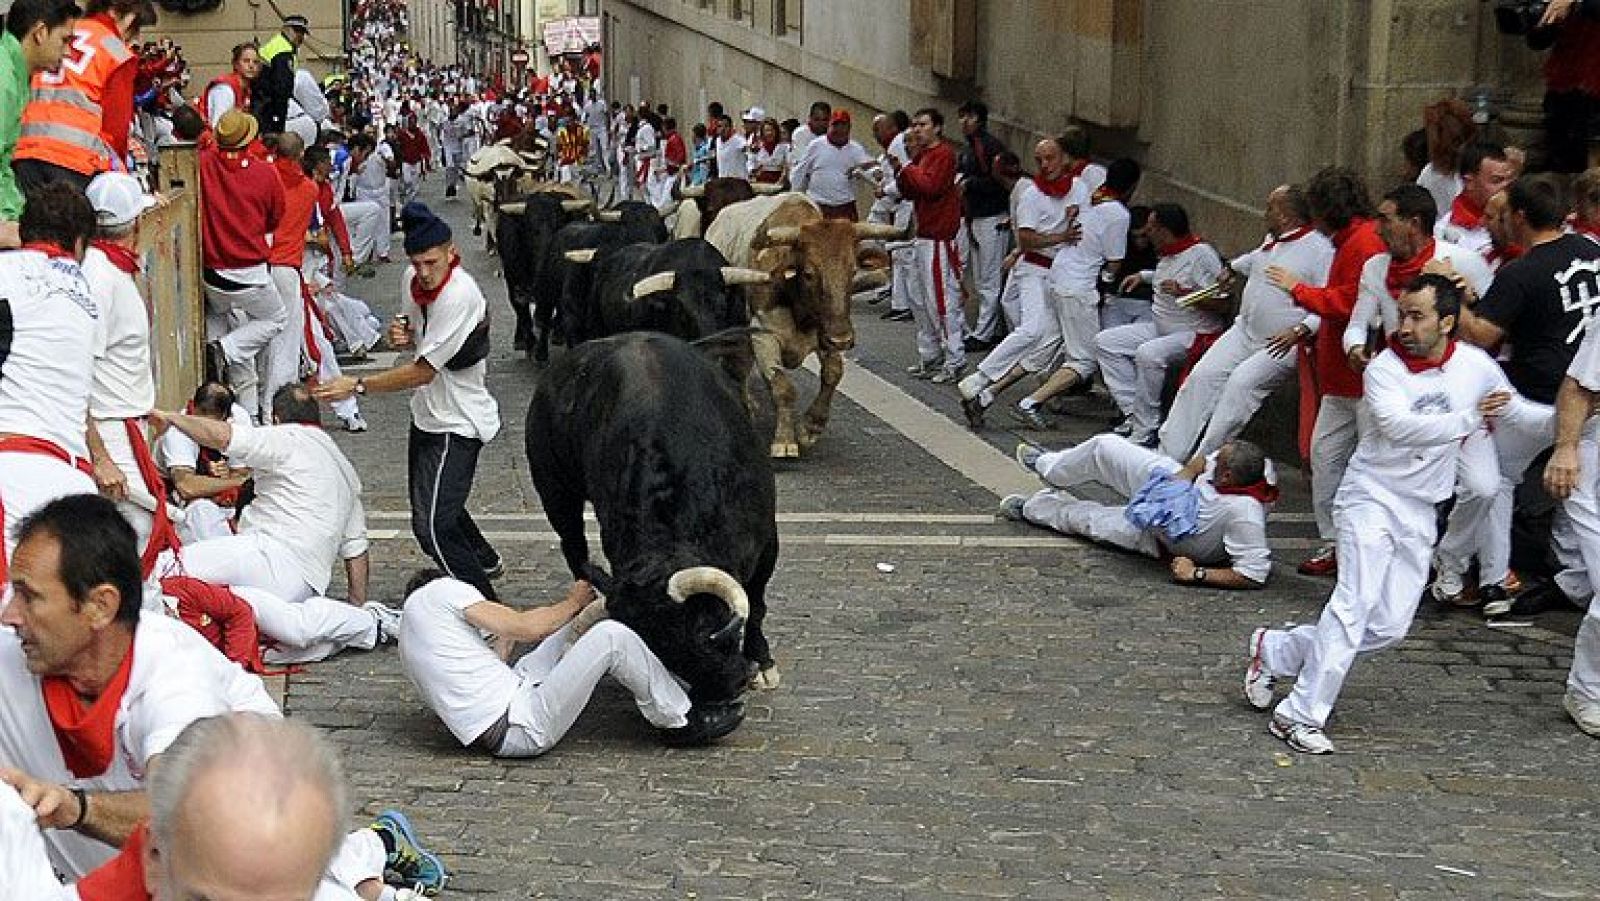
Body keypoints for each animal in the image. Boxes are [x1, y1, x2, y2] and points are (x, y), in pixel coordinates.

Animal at [710, 192, 908, 454]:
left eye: (852, 271)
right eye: (809, 273)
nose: (843, 339)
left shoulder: (826, 334)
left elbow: (833, 374)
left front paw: (810, 428)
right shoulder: (763, 335)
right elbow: (782, 386)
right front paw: (784, 440)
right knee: (738, 369)